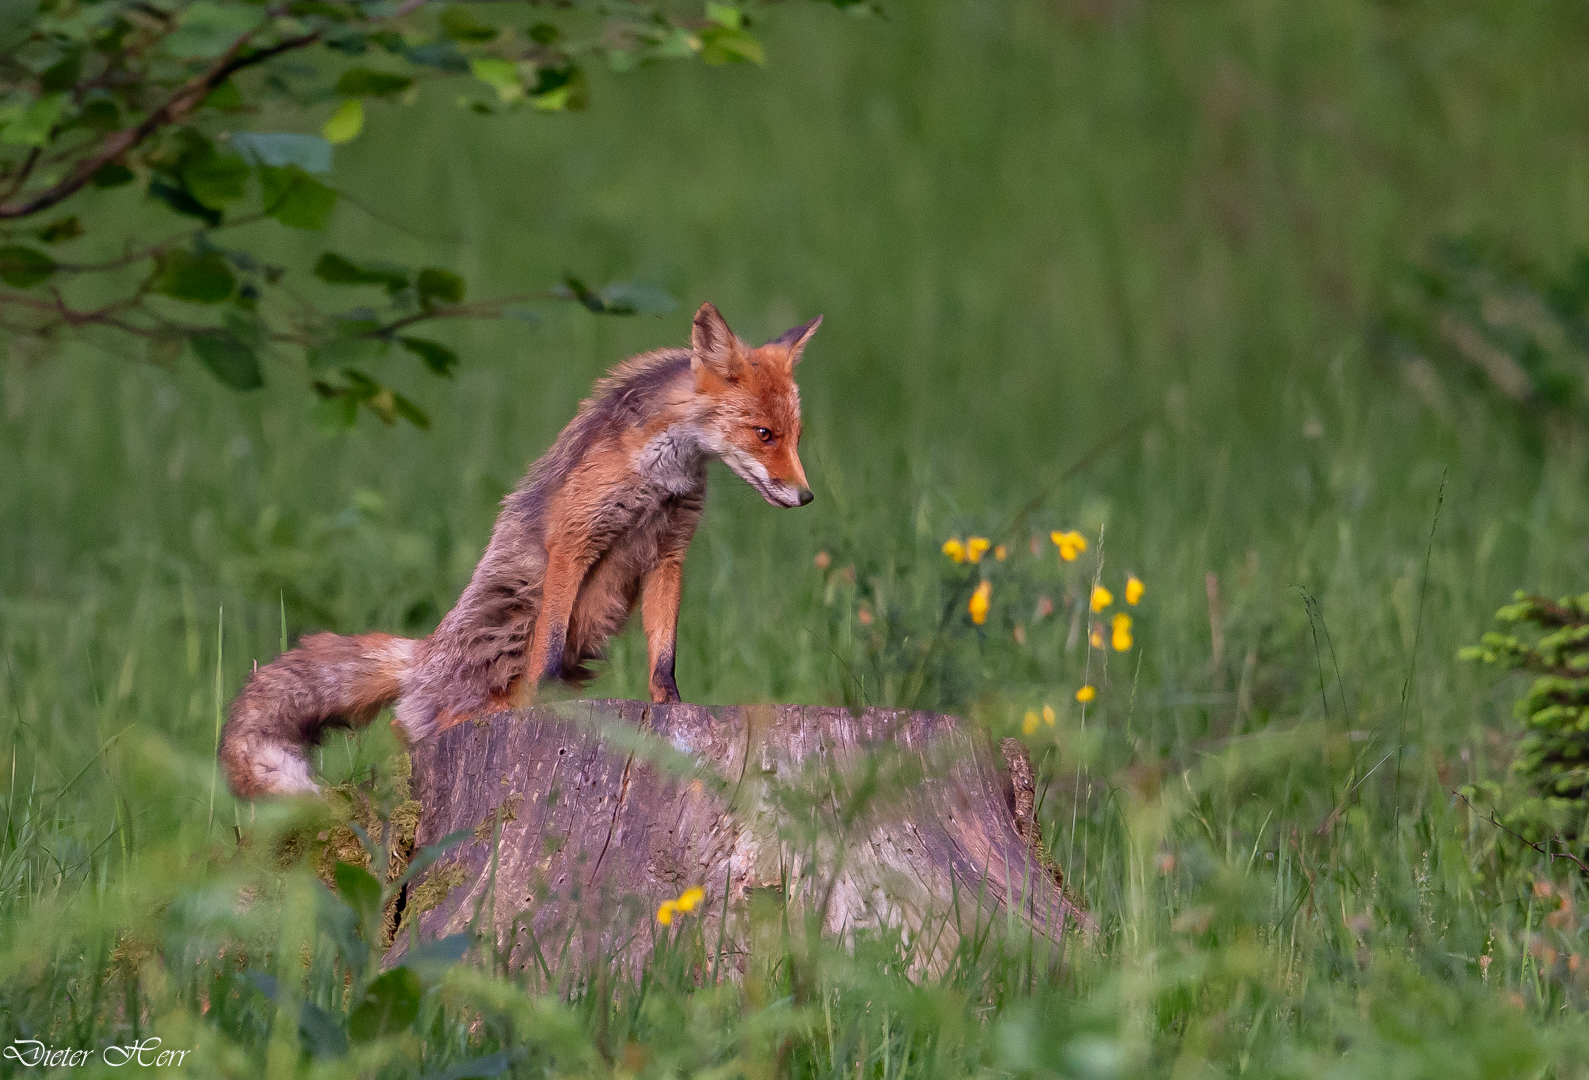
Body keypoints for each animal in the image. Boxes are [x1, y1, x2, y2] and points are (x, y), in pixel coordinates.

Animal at [220, 301, 819, 794]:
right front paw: (540, 706)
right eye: (764, 434)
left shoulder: (668, 554)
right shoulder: (575, 542)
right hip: (506, 626)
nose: (807, 496)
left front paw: (670, 708)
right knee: (409, 722)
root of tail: (425, 653)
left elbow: (663, 656)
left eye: (795, 436)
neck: (662, 478)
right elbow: (547, 650)